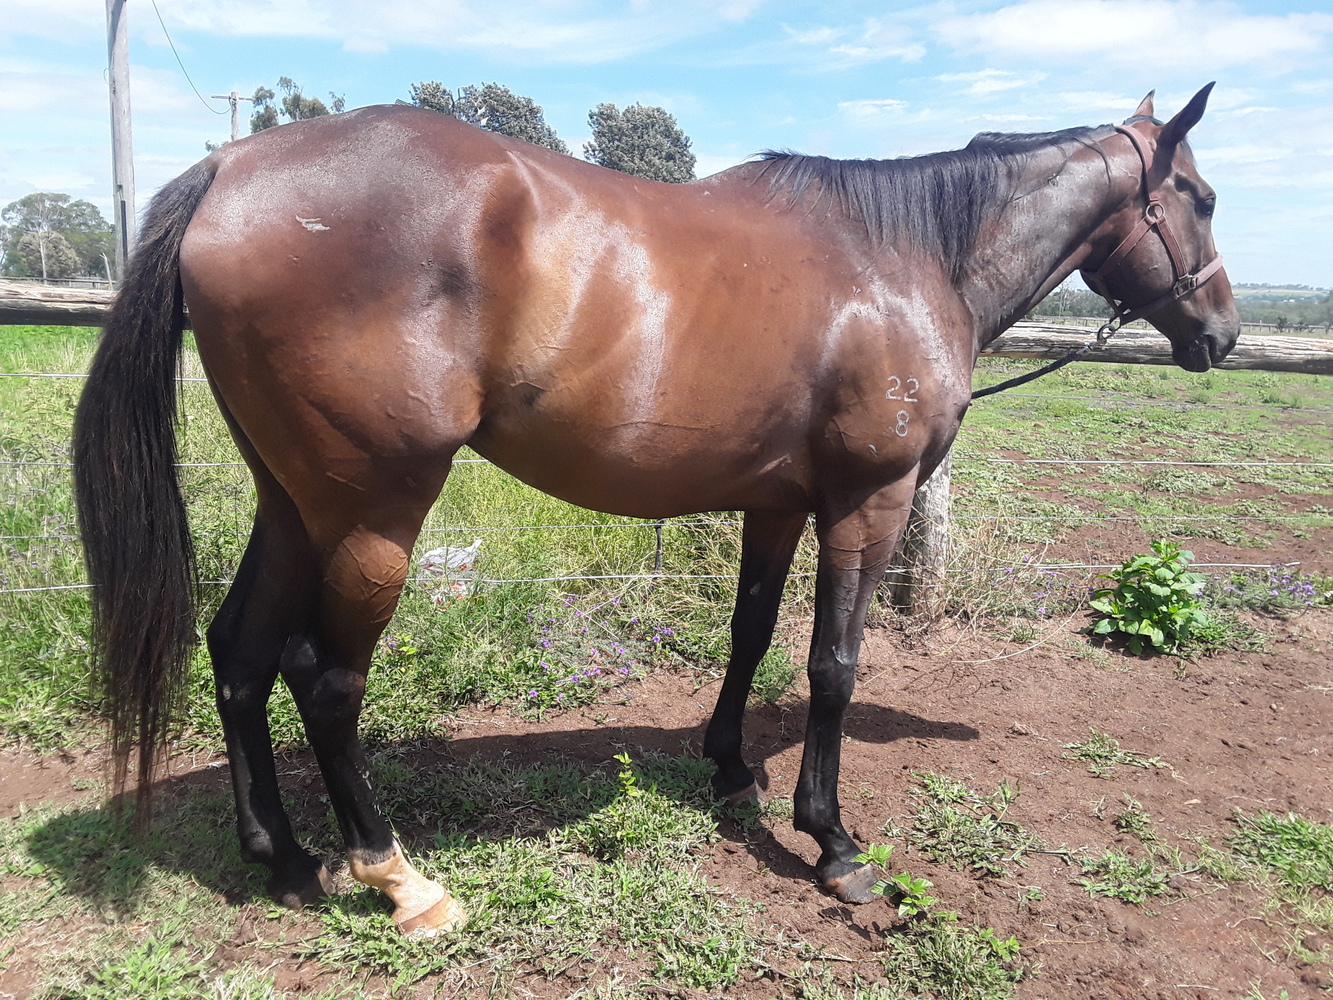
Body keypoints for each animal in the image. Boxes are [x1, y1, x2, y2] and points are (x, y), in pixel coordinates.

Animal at [72, 84, 1239, 937]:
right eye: (1200, 196)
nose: (1221, 335)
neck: (903, 258)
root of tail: (232, 170)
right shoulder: (866, 502)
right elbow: (832, 667)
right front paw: (834, 845)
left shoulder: (776, 502)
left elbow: (752, 632)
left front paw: (728, 771)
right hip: (374, 513)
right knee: (323, 677)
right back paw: (398, 877)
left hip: (293, 502)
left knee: (238, 650)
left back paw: (281, 857)